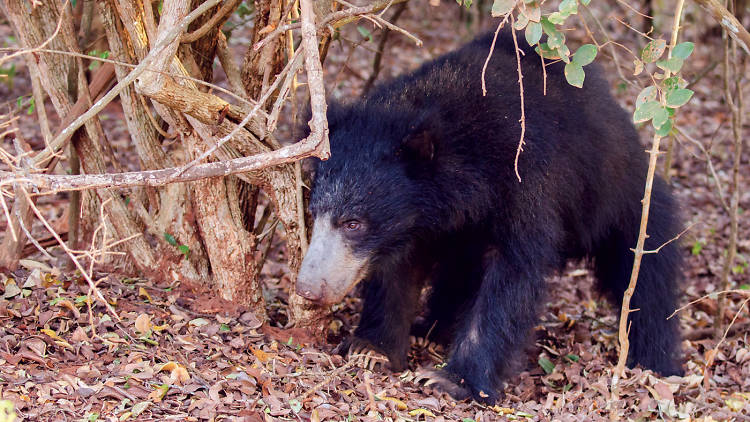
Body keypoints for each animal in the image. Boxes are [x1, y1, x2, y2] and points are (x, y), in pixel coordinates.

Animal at [296, 32, 684, 402]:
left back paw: (655, 362)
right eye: (315, 214)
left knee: (647, 280)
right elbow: (398, 273)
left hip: (621, 203)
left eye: (353, 223)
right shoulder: (415, 223)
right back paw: (432, 328)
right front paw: (370, 349)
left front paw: (450, 380)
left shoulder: (527, 180)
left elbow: (512, 274)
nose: (308, 289)